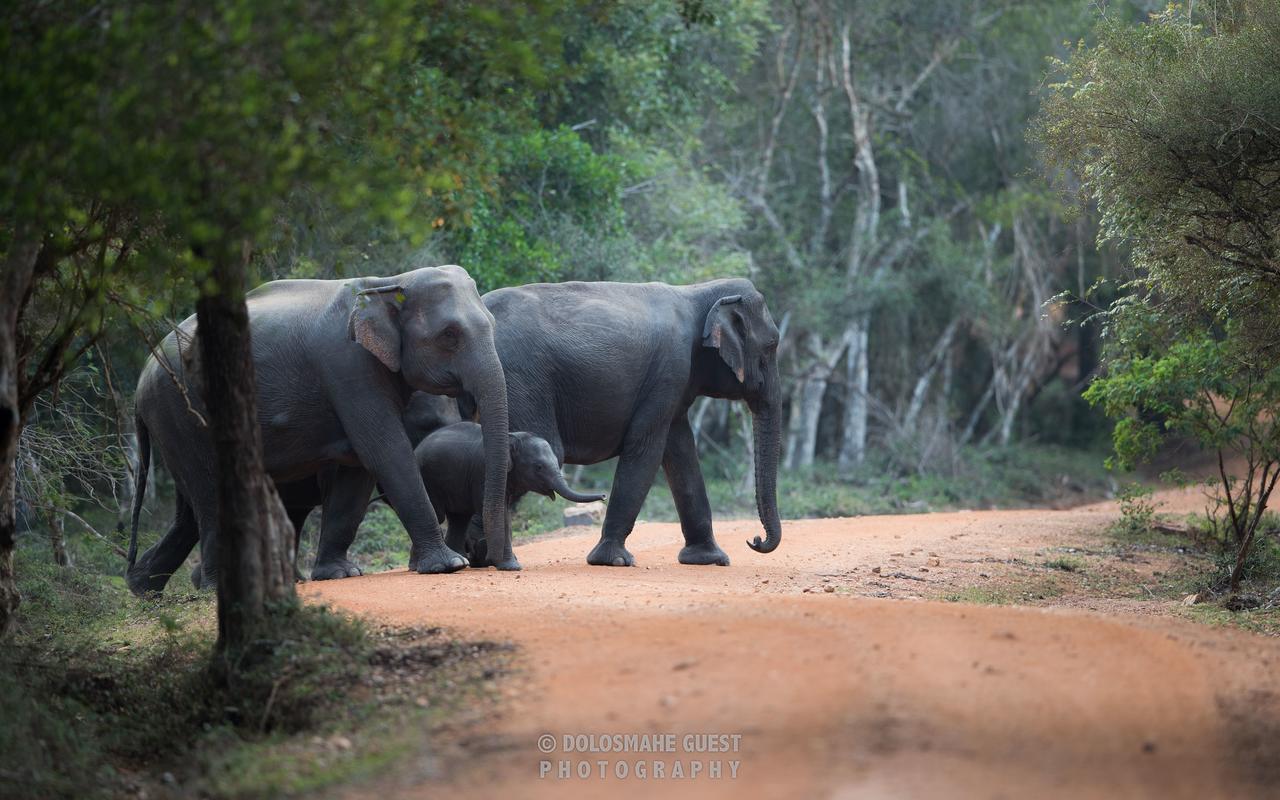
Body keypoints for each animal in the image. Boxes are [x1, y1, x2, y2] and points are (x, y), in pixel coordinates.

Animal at [126, 263, 514, 593]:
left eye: (493, 325)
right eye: (449, 335)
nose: (503, 564)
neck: (390, 282)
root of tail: (141, 379)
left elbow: (356, 468)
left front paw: (340, 574)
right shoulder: (348, 366)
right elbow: (384, 451)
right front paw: (450, 565)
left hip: (174, 420)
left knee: (188, 510)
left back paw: (144, 589)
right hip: (180, 406)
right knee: (208, 492)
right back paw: (213, 587)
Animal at [412, 422, 606, 565]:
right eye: (539, 467)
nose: (604, 496)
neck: (514, 437)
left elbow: (506, 513)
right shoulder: (484, 472)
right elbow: (497, 512)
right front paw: (508, 564)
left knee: (459, 519)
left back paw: (462, 562)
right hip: (428, 479)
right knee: (440, 515)